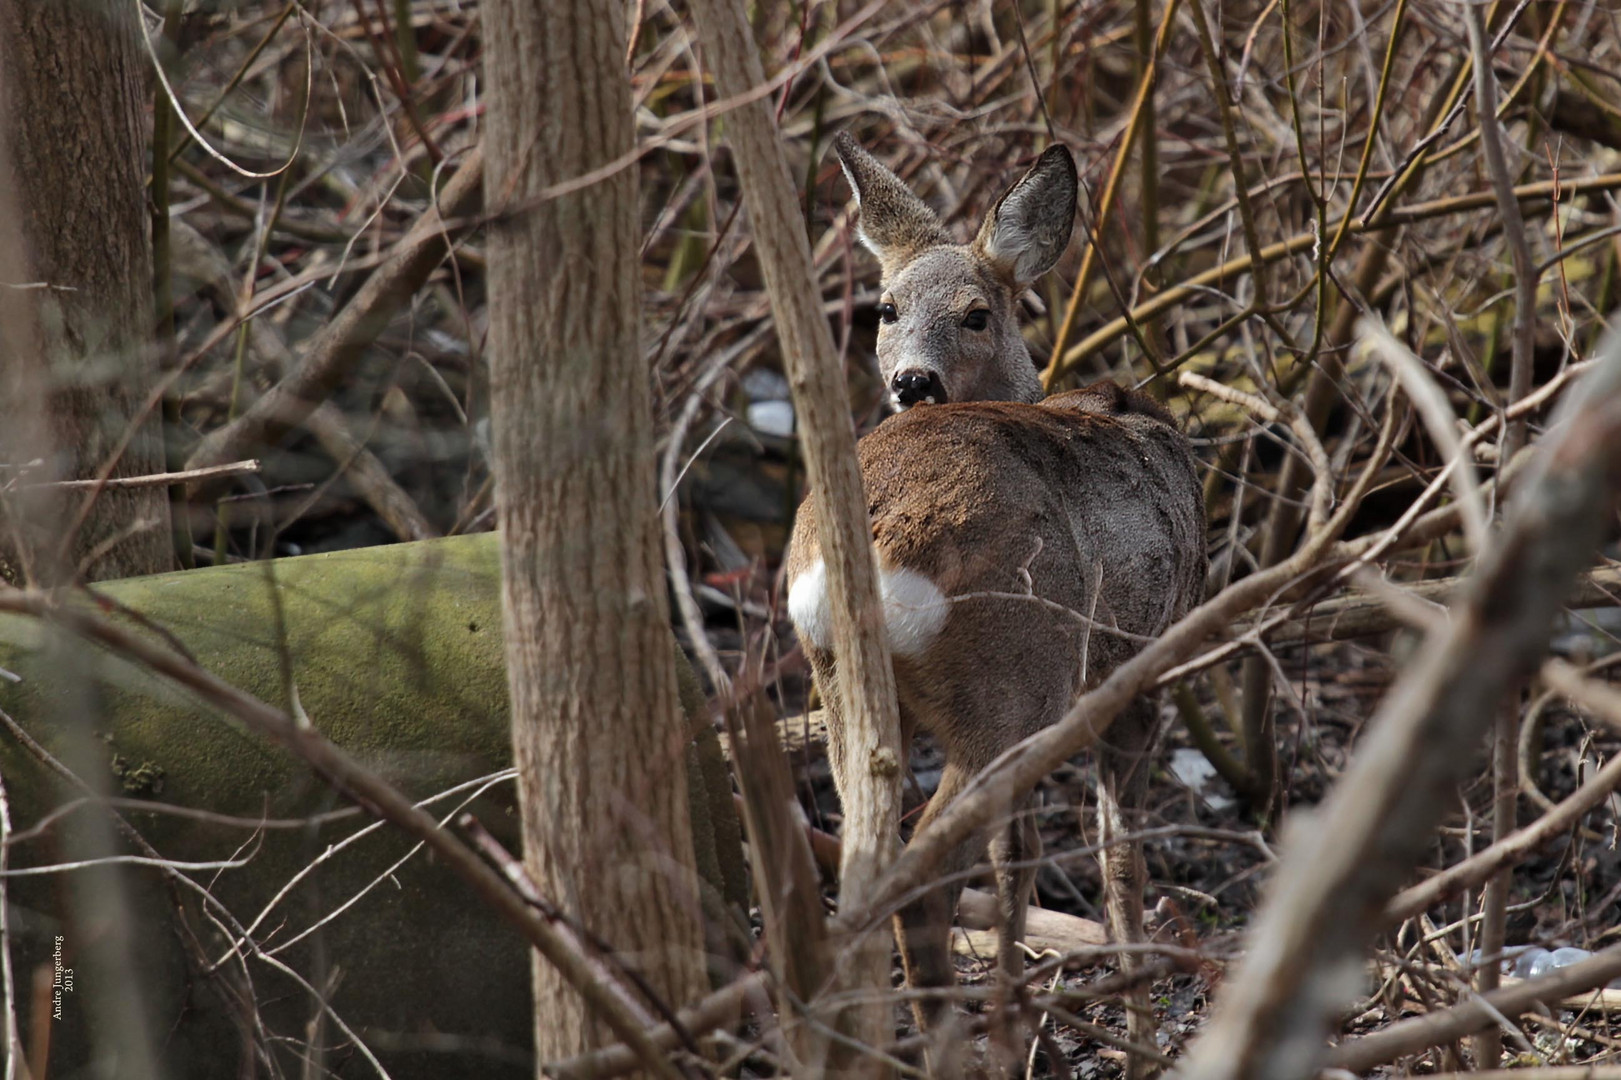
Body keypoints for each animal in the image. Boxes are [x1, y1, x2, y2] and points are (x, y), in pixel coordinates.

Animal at [784, 132, 1206, 1057]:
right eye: (886, 309)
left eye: (976, 313)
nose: (911, 382)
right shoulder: (1136, 669)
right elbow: (1115, 857)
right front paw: (1136, 1038)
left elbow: (1019, 859)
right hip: (1009, 681)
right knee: (925, 877)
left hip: (845, 687)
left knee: (868, 866)